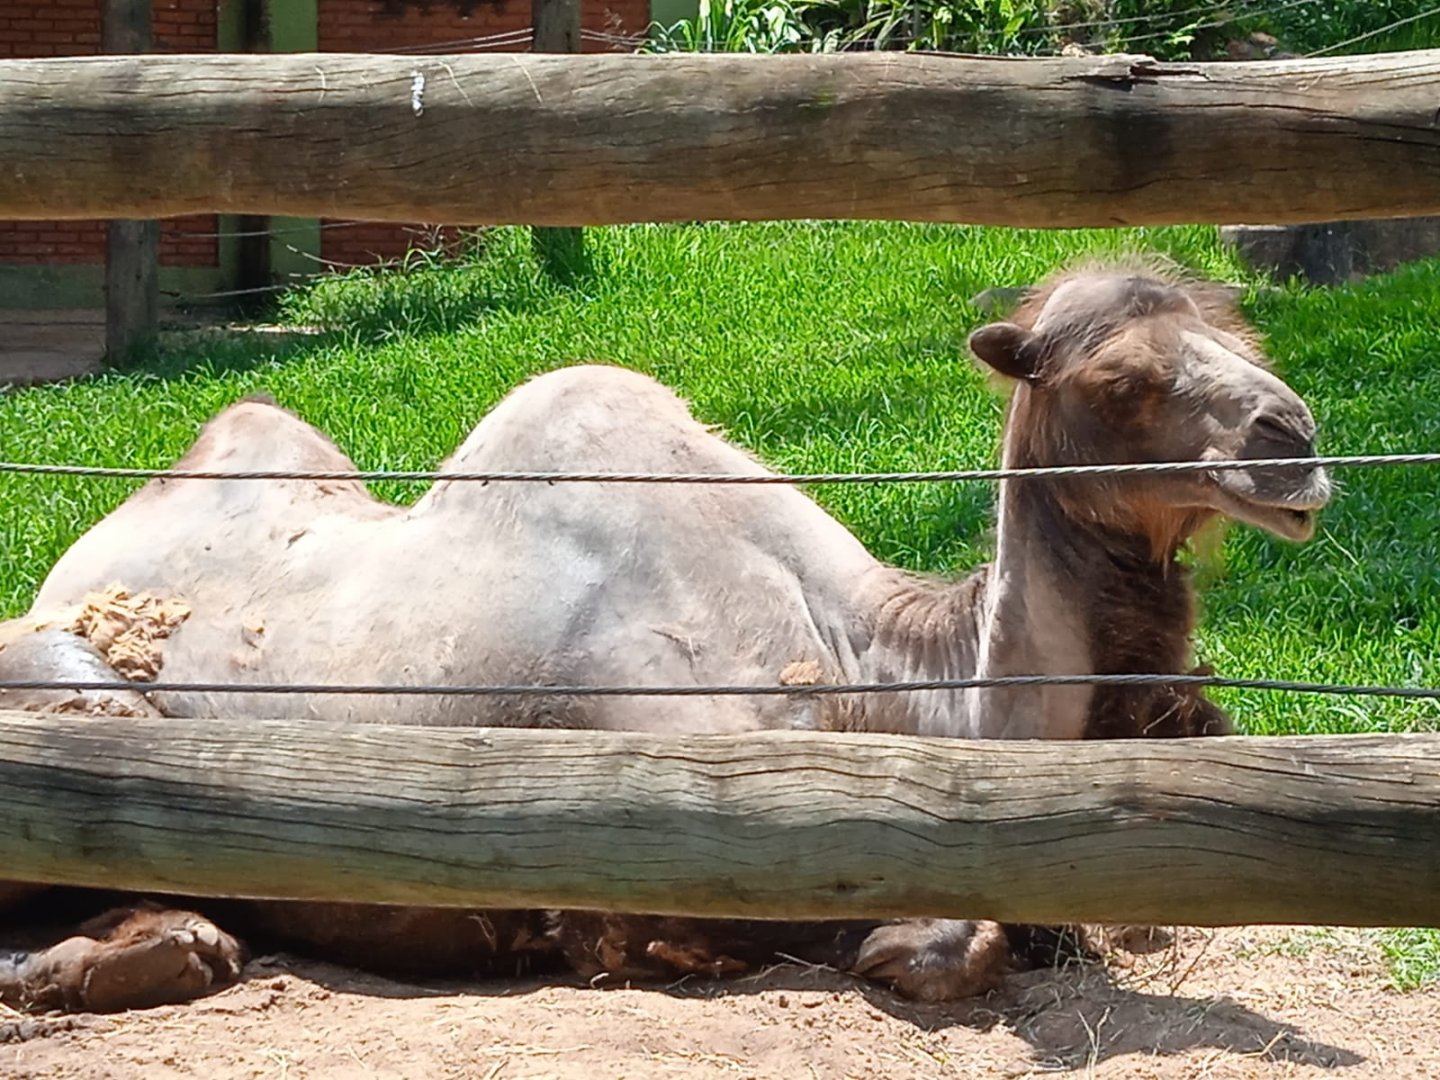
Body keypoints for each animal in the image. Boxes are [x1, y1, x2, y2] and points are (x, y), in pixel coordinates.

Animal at [0, 261, 1332, 1014]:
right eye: (1118, 380)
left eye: (1242, 340)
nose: (1295, 437)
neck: (878, 678)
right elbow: (948, 942)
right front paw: (888, 947)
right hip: (68, 684)